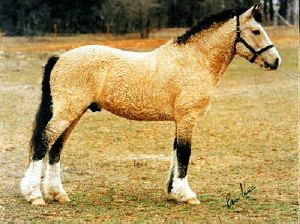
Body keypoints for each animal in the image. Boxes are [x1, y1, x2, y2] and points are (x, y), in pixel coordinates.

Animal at [20, 3, 278, 206]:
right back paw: (34, 195)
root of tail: (61, 57)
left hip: (74, 113)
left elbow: (176, 151)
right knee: (44, 142)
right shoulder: (187, 118)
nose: (276, 61)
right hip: (66, 112)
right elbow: (184, 153)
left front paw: (174, 191)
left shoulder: (180, 120)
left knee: (56, 147)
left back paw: (58, 194)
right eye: (256, 30)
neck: (193, 61)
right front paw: (187, 195)